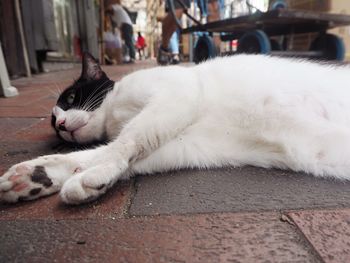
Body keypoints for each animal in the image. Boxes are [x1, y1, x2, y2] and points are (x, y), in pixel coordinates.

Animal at [0, 51, 350, 204]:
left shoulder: (177, 94)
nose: (59, 123)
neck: (115, 115)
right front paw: (39, 176)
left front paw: (93, 174)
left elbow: (124, 143)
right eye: (52, 124)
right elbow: (114, 153)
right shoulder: (184, 140)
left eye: (71, 98)